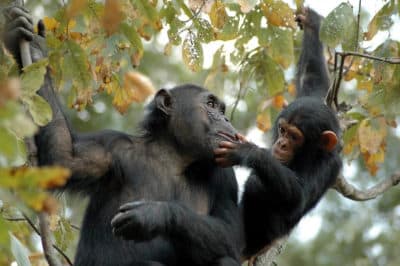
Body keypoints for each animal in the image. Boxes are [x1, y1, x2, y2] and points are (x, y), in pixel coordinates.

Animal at [3, 4, 242, 266]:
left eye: (221, 109)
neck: (175, 155)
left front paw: (154, 214)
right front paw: (34, 49)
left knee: (225, 257)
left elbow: (231, 235)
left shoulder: (225, 176)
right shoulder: (110, 147)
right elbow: (64, 158)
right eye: (210, 105)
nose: (226, 119)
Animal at [214, 7, 342, 258]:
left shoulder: (325, 165)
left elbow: (299, 193)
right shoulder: (313, 96)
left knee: (258, 186)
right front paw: (312, 22)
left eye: (293, 137)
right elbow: (313, 76)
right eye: (282, 130)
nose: (281, 144)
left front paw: (247, 151)